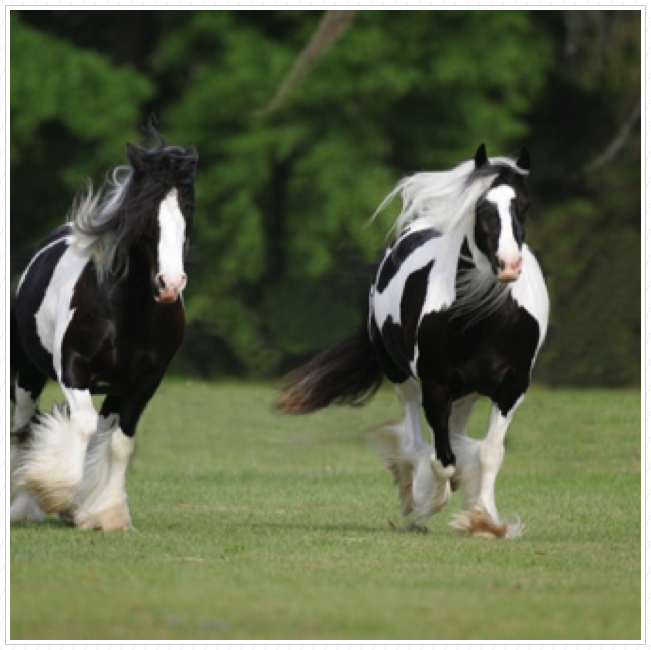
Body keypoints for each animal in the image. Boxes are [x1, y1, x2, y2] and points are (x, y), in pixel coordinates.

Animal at [10, 129, 199, 528]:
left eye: (187, 207)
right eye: (145, 211)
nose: (170, 284)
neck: (128, 311)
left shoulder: (144, 382)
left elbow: (120, 442)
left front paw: (104, 513)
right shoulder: (73, 367)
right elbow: (81, 424)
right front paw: (53, 489)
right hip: (28, 374)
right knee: (23, 428)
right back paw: (20, 503)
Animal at [276, 146, 552, 536]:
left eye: (523, 206)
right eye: (481, 207)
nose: (509, 264)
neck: (484, 320)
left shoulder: (512, 387)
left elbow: (488, 453)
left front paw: (483, 520)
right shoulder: (435, 385)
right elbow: (441, 459)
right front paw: (427, 500)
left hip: (467, 391)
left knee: (456, 431)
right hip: (400, 373)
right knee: (415, 433)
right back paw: (412, 486)